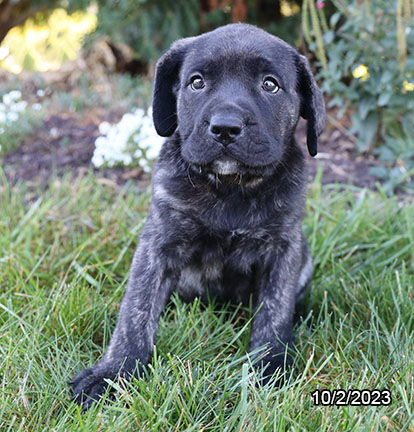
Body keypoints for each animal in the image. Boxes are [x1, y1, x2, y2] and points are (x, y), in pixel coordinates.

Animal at [72, 23, 326, 408]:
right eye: (196, 82)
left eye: (270, 84)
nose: (225, 127)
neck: (231, 188)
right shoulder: (158, 245)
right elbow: (136, 311)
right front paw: (113, 373)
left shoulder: (283, 247)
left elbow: (274, 311)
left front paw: (269, 367)